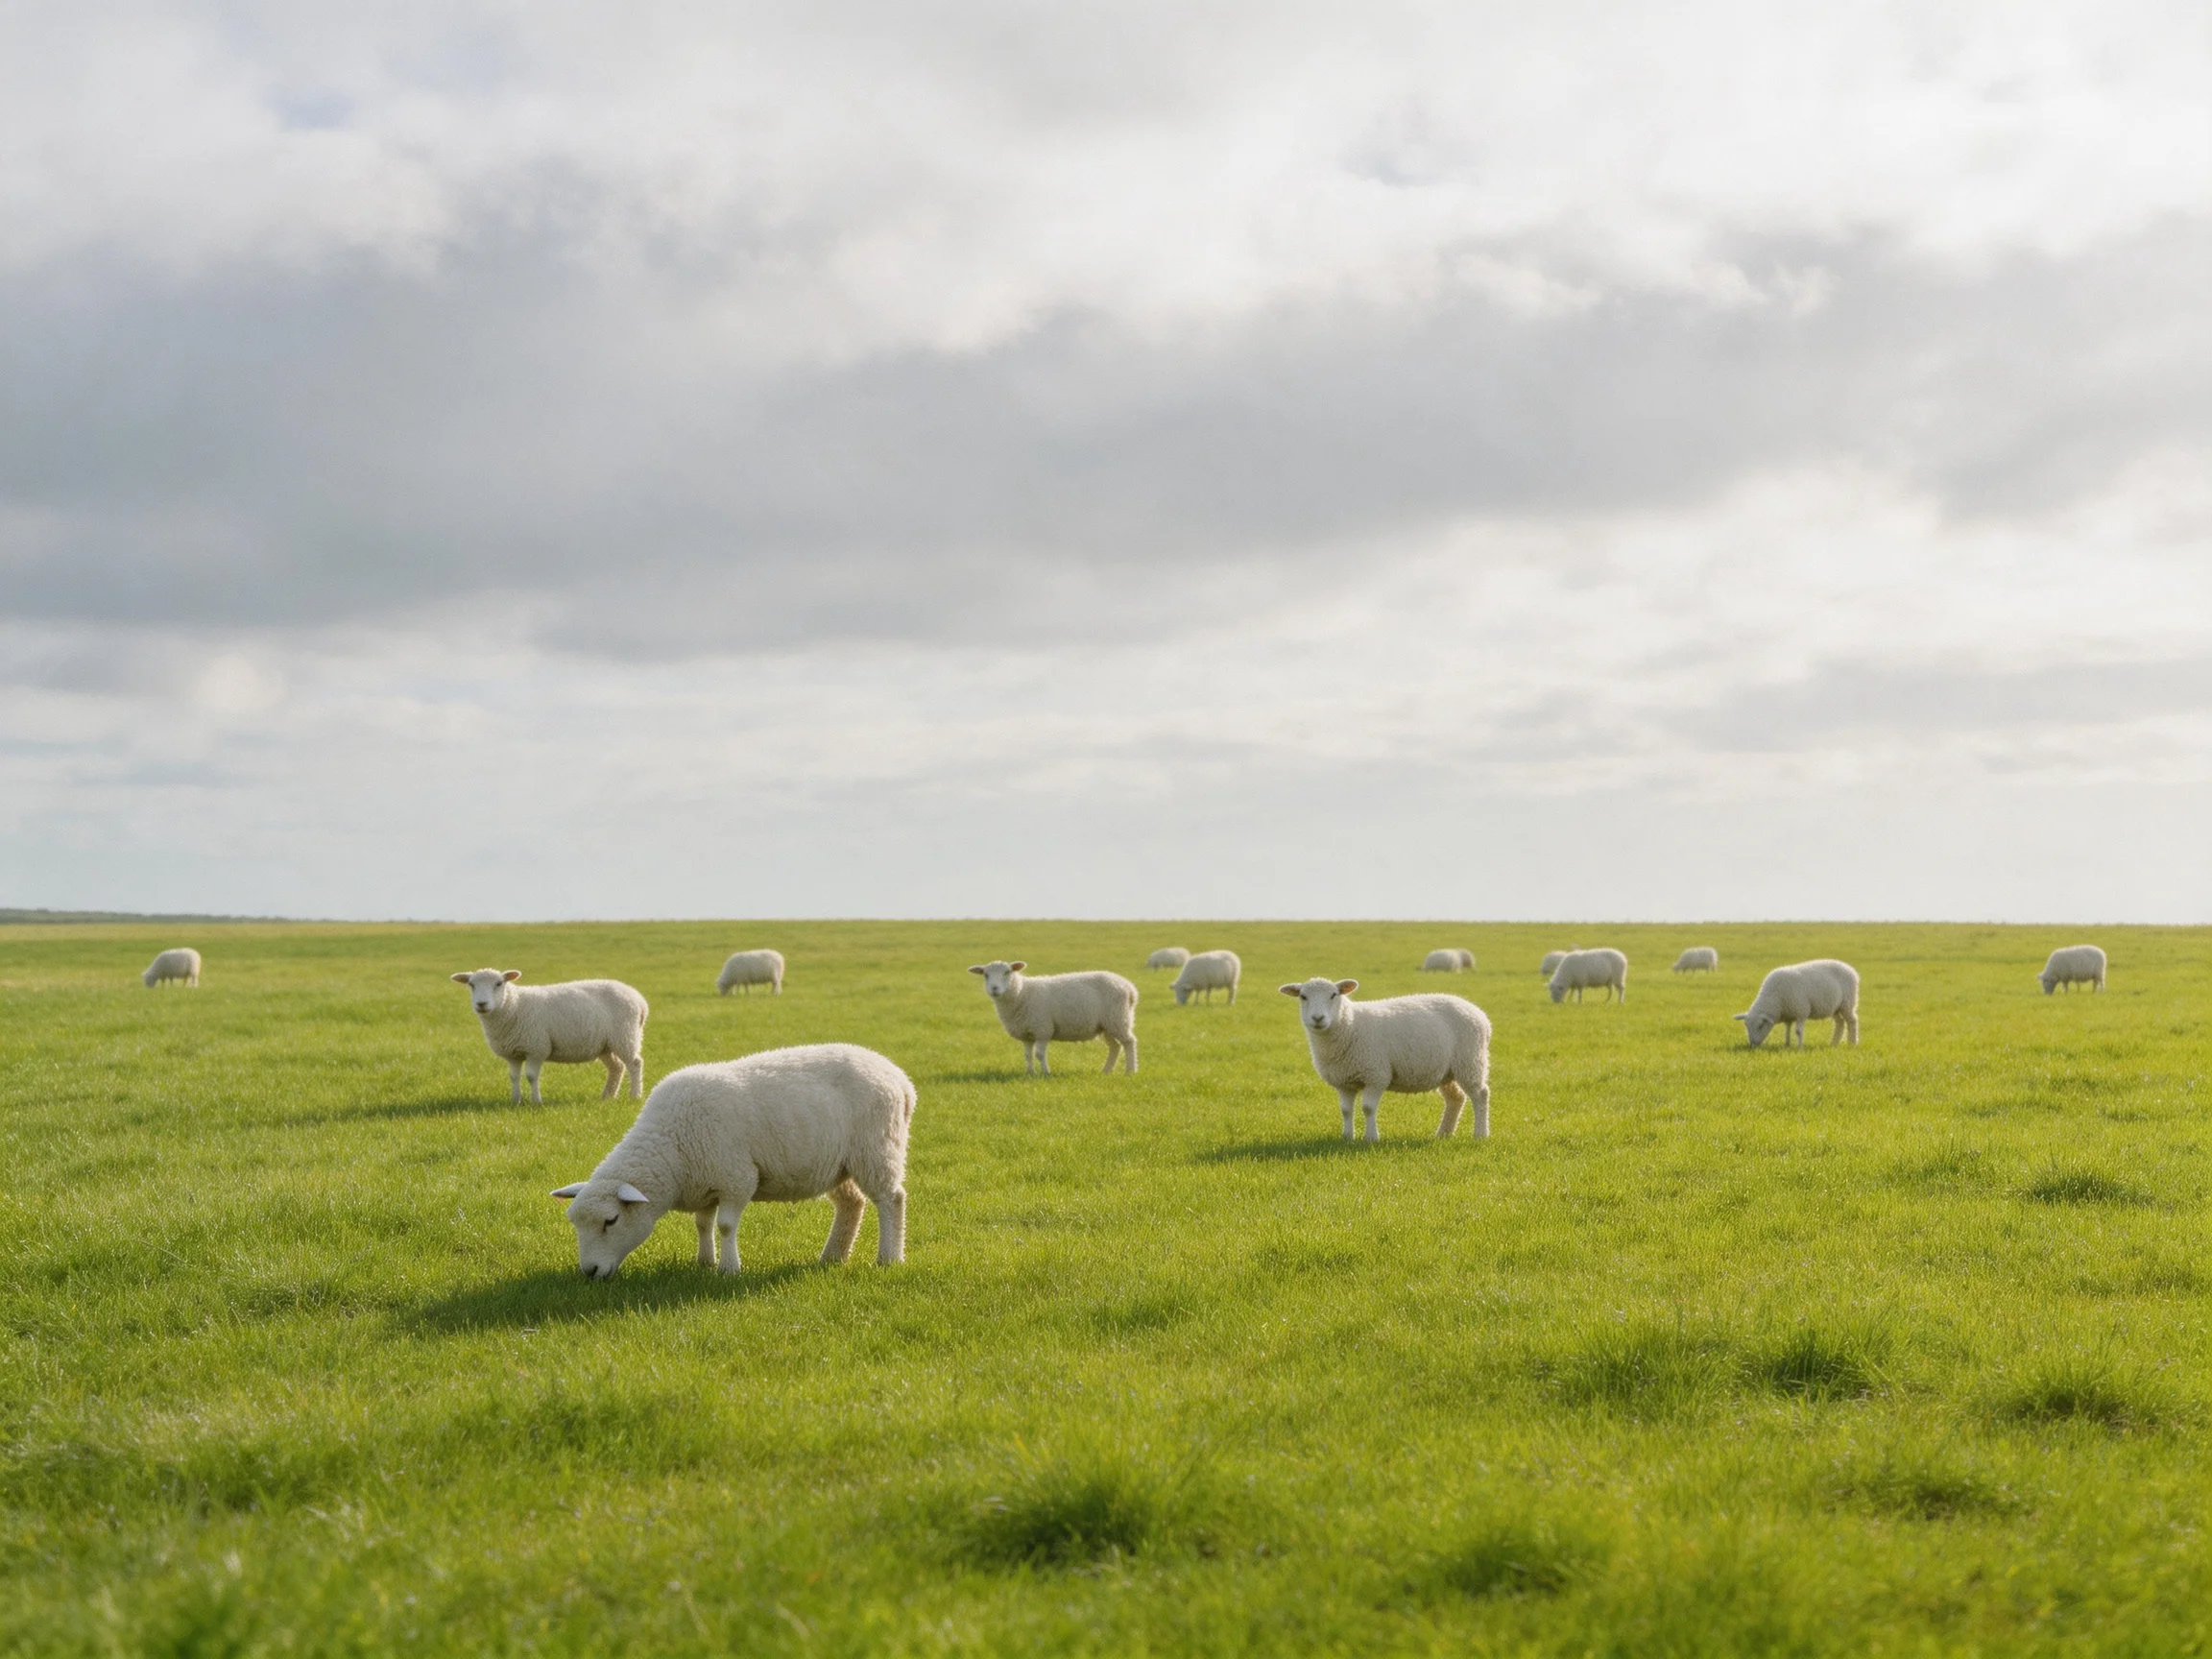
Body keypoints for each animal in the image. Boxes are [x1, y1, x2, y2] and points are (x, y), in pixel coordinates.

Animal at [450, 969, 648, 1104]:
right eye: (471, 985)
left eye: (499, 983)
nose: (481, 1004)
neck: (513, 1005)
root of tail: (640, 1000)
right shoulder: (512, 1053)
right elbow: (514, 1077)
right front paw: (515, 1100)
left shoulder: (537, 1047)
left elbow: (531, 1076)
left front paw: (536, 1101)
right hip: (605, 1044)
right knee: (617, 1067)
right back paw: (607, 1096)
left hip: (626, 1036)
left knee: (635, 1064)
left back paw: (635, 1095)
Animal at [552, 1043, 913, 1278]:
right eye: (576, 1223)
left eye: (610, 1221)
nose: (589, 1271)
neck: (672, 1146)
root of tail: (900, 1078)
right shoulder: (704, 1182)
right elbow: (702, 1224)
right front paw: (704, 1261)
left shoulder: (736, 1178)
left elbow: (725, 1225)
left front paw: (728, 1269)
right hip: (839, 1164)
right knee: (852, 1204)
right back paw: (832, 1258)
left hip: (876, 1149)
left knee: (891, 1199)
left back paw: (889, 1258)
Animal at [969, 960, 1139, 1074]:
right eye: (986, 975)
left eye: (1007, 972)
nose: (994, 988)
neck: (1021, 993)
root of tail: (1130, 988)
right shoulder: (1025, 1033)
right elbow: (1027, 1055)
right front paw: (1030, 1073)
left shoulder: (1042, 1029)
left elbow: (1039, 1054)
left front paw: (1046, 1073)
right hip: (1106, 1024)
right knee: (1115, 1047)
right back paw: (1106, 1070)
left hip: (1118, 1018)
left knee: (1129, 1042)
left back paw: (1130, 1071)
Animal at [1278, 978, 1491, 1143]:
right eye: (1303, 996)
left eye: (1333, 995)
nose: (1318, 1018)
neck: (1350, 1025)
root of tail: (1480, 1014)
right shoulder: (1343, 1081)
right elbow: (1346, 1110)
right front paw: (1347, 1137)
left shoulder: (1376, 1075)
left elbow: (1368, 1108)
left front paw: (1371, 1138)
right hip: (1448, 1070)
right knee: (1456, 1098)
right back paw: (1444, 1133)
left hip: (1470, 1061)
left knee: (1480, 1095)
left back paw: (1480, 1134)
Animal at [1735, 960, 1859, 1048]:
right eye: (1746, 1026)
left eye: (1760, 1026)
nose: (1752, 1045)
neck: (1774, 998)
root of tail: (1851, 970)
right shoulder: (1788, 1013)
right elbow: (1787, 1029)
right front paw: (1787, 1044)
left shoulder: (1801, 1011)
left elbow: (1798, 1031)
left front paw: (1800, 1048)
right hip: (1835, 1007)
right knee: (1840, 1022)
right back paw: (1833, 1043)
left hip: (1847, 1003)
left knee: (1852, 1021)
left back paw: (1852, 1043)